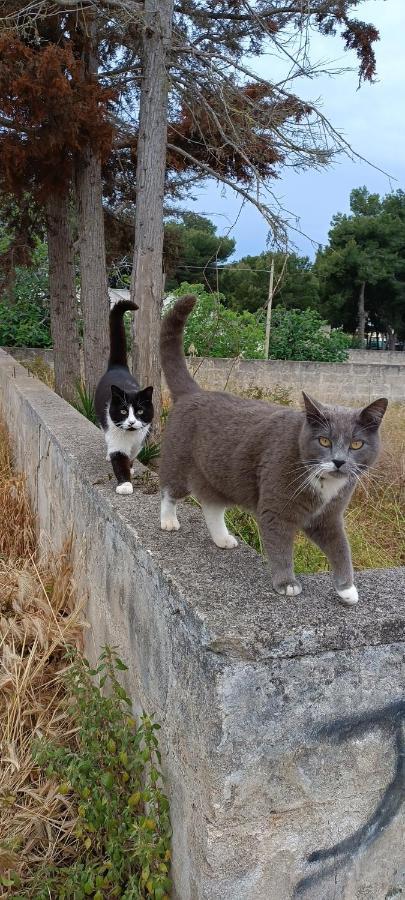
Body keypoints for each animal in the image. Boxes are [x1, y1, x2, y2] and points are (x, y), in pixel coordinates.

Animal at [94, 298, 154, 496]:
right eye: (122, 411)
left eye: (140, 411)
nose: (132, 422)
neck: (130, 435)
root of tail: (118, 367)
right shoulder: (117, 441)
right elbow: (119, 460)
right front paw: (125, 485)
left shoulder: (140, 441)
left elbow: (132, 457)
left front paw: (131, 467)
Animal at [159, 296, 386, 604]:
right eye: (324, 441)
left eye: (356, 444)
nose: (339, 461)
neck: (323, 482)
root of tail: (195, 392)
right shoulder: (277, 509)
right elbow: (280, 547)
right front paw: (287, 583)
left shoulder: (328, 517)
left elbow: (340, 547)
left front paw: (347, 589)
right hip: (180, 461)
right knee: (170, 490)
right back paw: (168, 520)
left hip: (220, 474)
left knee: (212, 505)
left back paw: (222, 538)